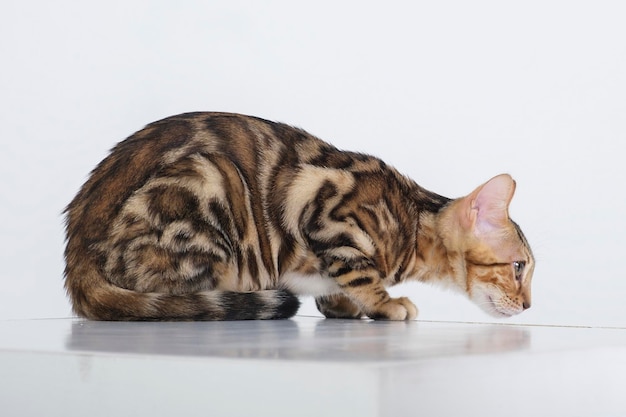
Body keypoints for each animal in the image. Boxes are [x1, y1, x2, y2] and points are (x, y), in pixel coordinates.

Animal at [62, 112, 532, 320]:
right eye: (518, 267)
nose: (528, 305)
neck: (413, 223)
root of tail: (76, 254)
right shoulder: (331, 216)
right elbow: (359, 272)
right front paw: (385, 303)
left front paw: (342, 304)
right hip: (210, 178)